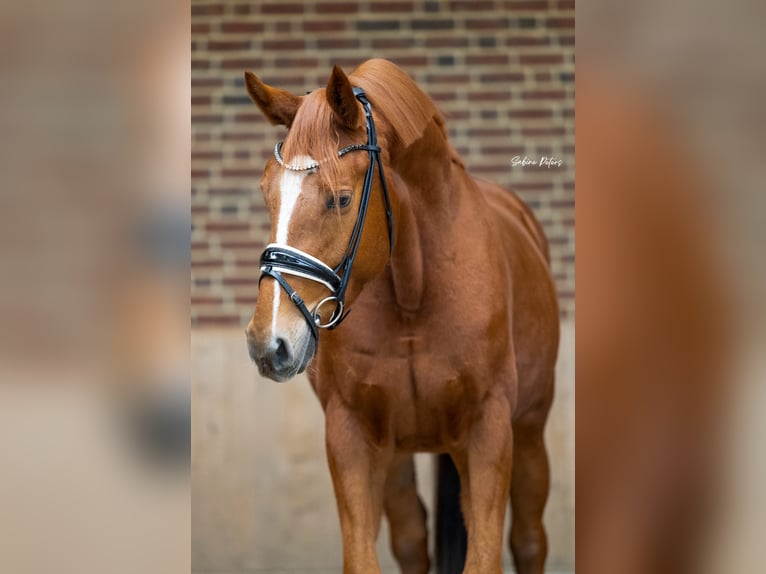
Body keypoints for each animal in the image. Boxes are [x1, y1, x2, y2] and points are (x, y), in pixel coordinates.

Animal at [244, 58, 559, 574]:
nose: (269, 344)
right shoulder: (350, 434)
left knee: (530, 541)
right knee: (412, 538)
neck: (415, 292)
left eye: (341, 198)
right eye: (268, 193)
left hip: (529, 432)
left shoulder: (489, 432)